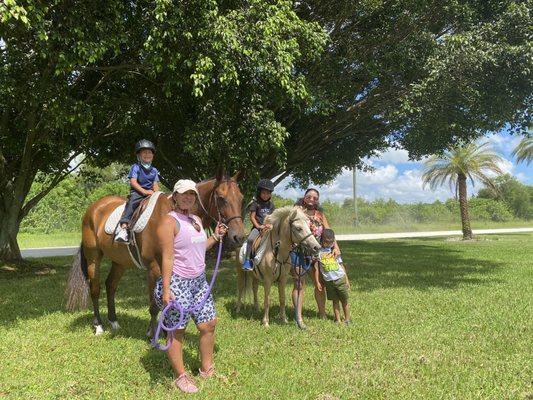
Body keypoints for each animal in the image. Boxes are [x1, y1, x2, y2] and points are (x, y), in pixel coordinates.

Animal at [65, 170, 245, 336]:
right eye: (221, 198)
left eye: (241, 198)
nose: (239, 237)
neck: (173, 214)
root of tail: (93, 208)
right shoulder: (153, 268)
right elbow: (154, 305)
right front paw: (153, 334)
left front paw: (166, 331)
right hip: (93, 257)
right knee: (95, 288)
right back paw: (99, 326)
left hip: (120, 261)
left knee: (111, 285)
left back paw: (114, 322)